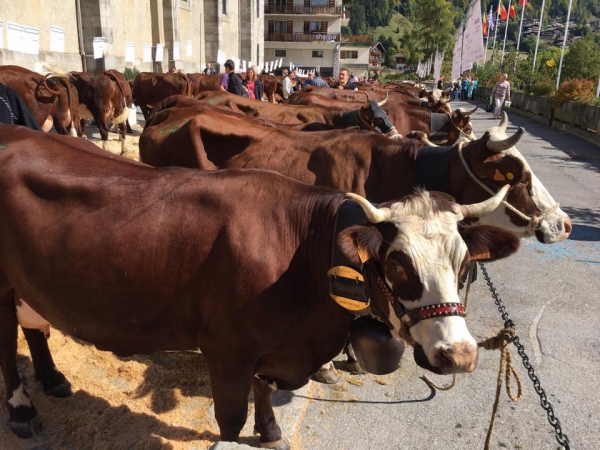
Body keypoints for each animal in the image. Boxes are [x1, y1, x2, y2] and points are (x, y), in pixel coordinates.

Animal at [0, 124, 520, 446]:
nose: (460, 355)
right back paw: (22, 410)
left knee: (33, 326)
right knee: (7, 350)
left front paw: (270, 431)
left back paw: (53, 379)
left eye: (465, 264)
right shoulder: (225, 347)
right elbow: (231, 419)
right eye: (396, 265)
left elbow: (263, 389)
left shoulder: (269, 344)